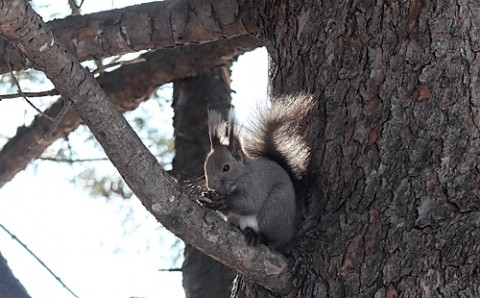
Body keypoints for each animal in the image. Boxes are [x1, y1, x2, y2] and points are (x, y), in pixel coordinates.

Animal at [200, 93, 316, 249]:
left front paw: (225, 200)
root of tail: (291, 229)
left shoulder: (257, 184)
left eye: (226, 168)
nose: (210, 186)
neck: (242, 174)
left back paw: (257, 236)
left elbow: (250, 202)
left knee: (274, 239)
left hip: (273, 209)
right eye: (205, 166)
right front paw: (209, 197)